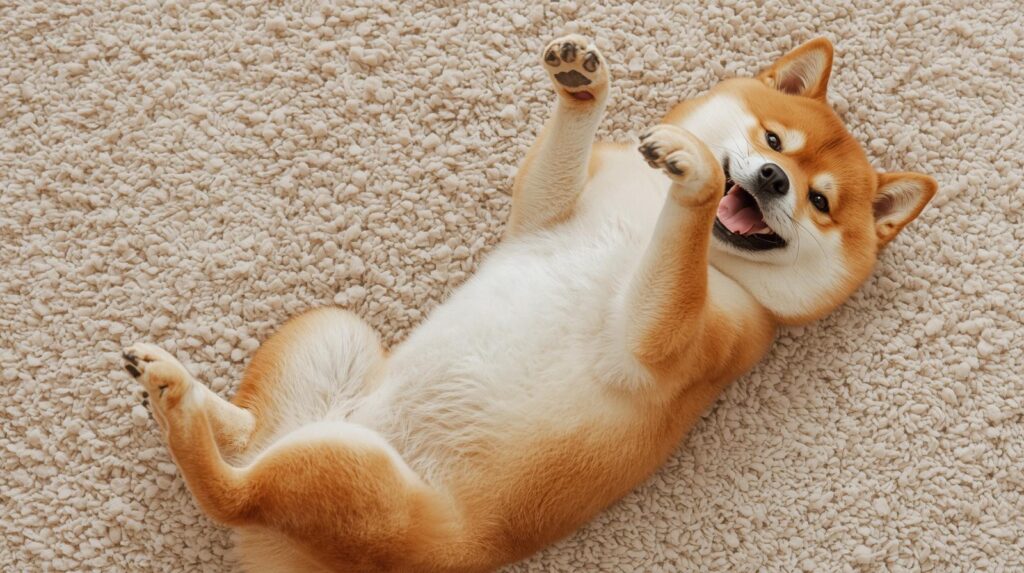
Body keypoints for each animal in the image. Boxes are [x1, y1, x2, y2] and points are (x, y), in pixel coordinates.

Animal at [121, 35, 937, 572]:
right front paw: (582, 85)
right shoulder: (544, 208)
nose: (771, 180)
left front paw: (696, 174)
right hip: (331, 334)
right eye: (774, 138)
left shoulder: (683, 340)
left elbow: (668, 283)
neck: (654, 219)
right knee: (252, 435)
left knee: (231, 492)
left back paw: (178, 406)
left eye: (820, 203)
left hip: (360, 481)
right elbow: (557, 164)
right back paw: (187, 391)